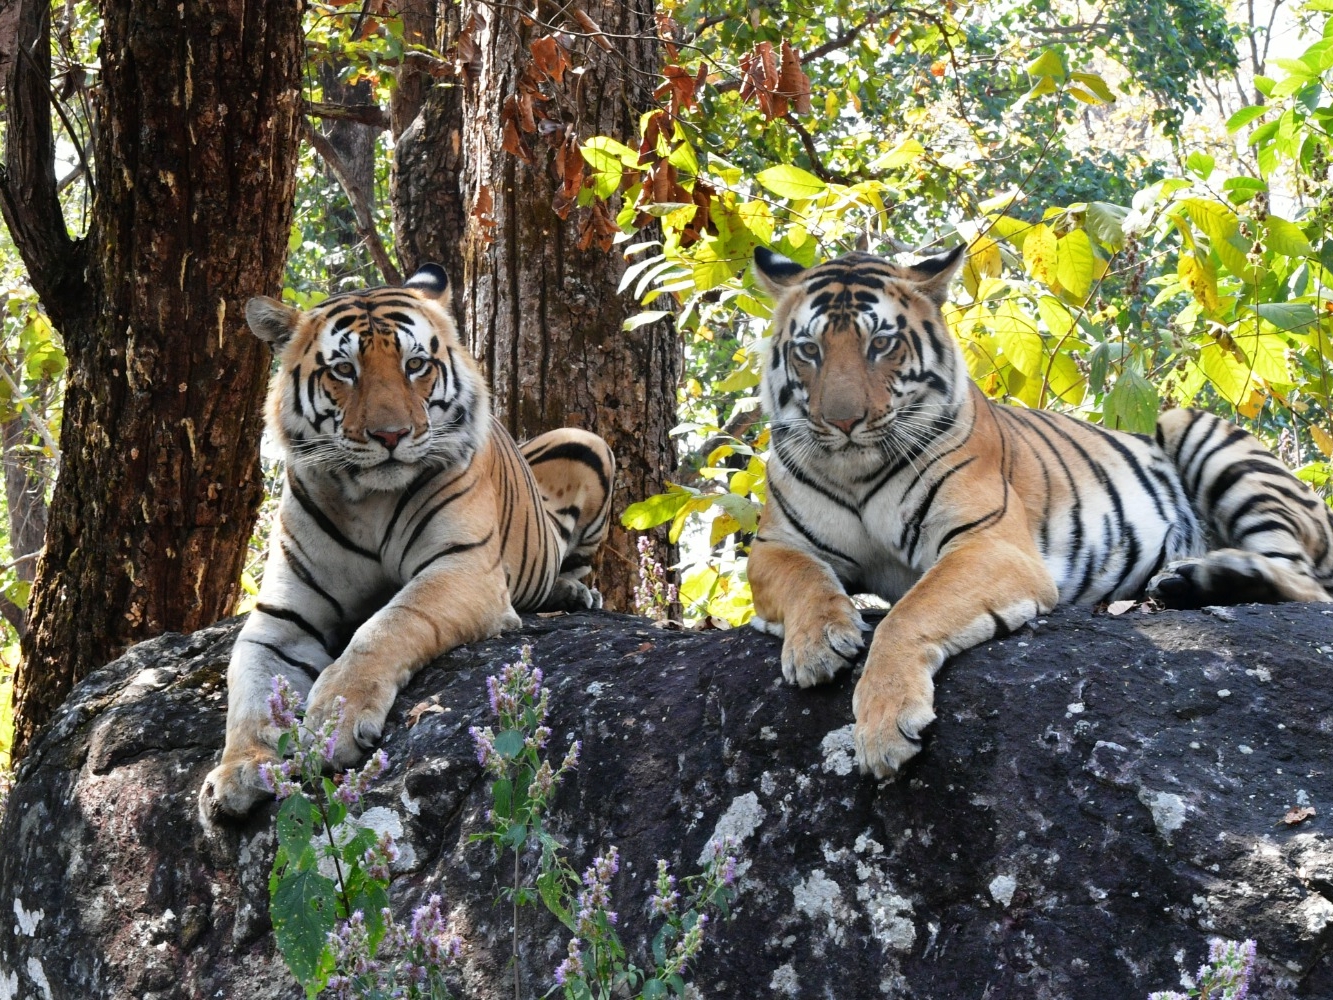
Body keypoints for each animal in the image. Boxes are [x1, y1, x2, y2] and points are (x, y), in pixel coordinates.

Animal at [198, 264, 614, 823]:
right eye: (344, 370)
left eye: (415, 365)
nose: (391, 435)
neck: (365, 499)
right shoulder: (281, 618)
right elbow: (251, 690)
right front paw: (240, 770)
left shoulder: (460, 567)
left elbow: (386, 626)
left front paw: (334, 719)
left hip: (590, 445)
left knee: (573, 568)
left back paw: (575, 593)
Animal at [747, 244, 1333, 781]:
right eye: (808, 350)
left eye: (882, 344)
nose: (843, 422)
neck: (856, 470)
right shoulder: (775, 544)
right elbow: (803, 578)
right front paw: (817, 644)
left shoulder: (989, 543)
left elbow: (906, 615)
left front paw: (884, 727)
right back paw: (1185, 581)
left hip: (1199, 432)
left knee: (1307, 585)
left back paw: (1209, 576)